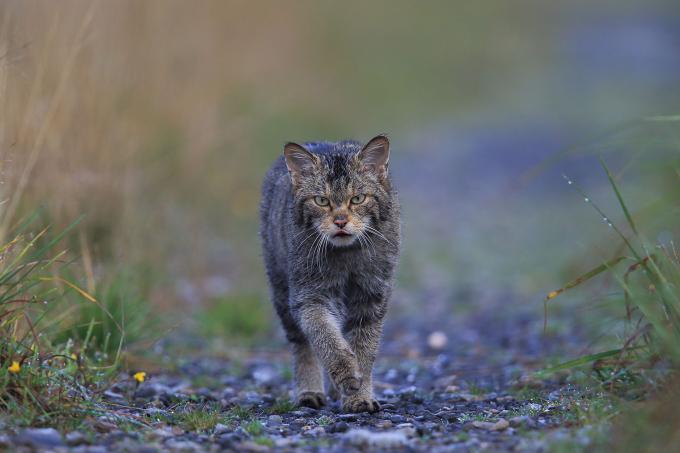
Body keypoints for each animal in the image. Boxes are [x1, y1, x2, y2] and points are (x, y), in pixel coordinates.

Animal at [258, 134, 398, 414]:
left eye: (358, 198)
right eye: (321, 201)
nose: (341, 221)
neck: (346, 258)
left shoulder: (372, 297)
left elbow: (364, 350)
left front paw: (359, 396)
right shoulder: (309, 297)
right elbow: (326, 338)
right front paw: (346, 374)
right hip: (280, 287)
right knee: (301, 344)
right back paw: (310, 392)